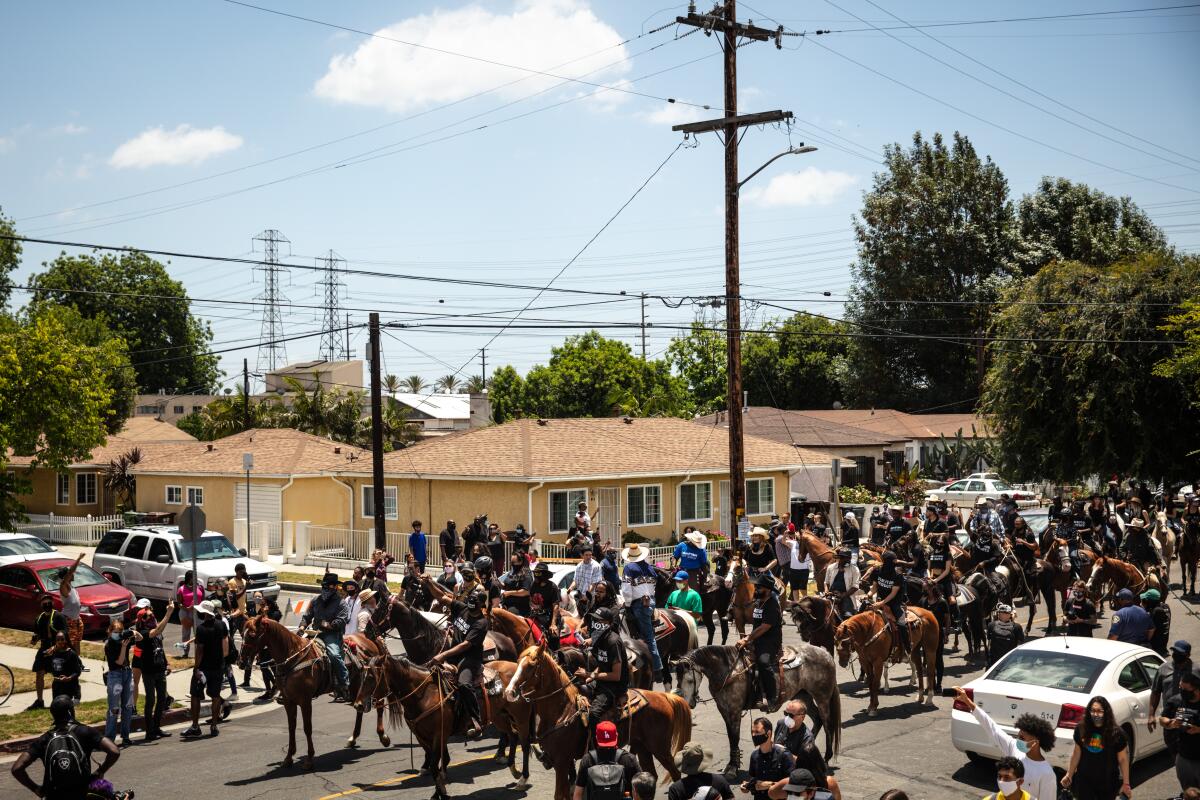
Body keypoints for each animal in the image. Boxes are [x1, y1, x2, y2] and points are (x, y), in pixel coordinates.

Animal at [241, 618, 391, 767]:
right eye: (242, 633)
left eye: (252, 635)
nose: (241, 661)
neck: (293, 658)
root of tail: (368, 639)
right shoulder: (289, 701)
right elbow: (291, 727)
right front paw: (289, 757)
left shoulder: (305, 701)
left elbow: (307, 728)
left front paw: (309, 759)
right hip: (357, 687)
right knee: (359, 708)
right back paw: (353, 738)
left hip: (372, 683)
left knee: (379, 704)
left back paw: (383, 737)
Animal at [504, 642, 696, 800]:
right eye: (517, 662)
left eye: (531, 666)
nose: (509, 692)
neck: (562, 710)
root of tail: (664, 697)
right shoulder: (564, 762)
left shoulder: (561, 761)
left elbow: (560, 794)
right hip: (643, 747)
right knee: (651, 777)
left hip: (660, 748)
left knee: (675, 774)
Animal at [672, 642, 840, 777]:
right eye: (677, 679)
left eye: (690, 680)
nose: (688, 703)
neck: (728, 670)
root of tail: (825, 653)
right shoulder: (724, 709)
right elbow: (731, 737)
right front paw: (732, 765)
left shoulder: (734, 710)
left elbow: (734, 737)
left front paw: (732, 768)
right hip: (803, 695)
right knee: (817, 719)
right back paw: (806, 750)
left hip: (822, 697)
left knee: (827, 723)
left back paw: (826, 758)